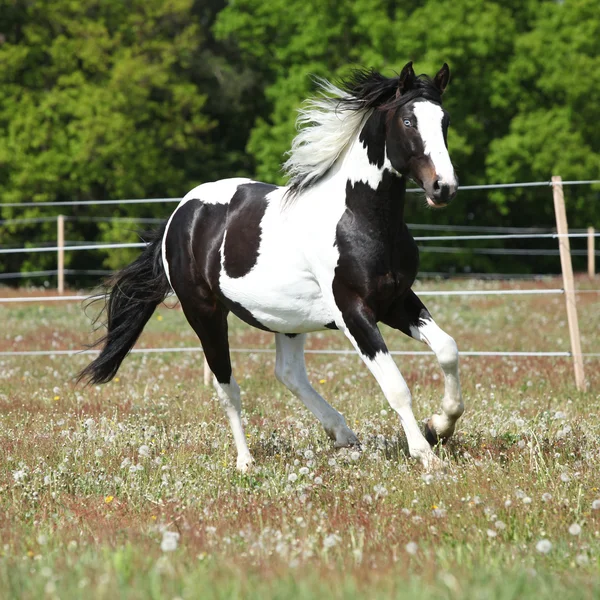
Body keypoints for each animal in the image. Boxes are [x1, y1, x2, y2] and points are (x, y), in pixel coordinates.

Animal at [78, 61, 464, 474]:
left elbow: (447, 349)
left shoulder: (396, 301)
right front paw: (426, 454)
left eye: (445, 120)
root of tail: (181, 213)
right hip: (204, 313)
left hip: (289, 319)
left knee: (288, 373)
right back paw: (246, 462)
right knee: (227, 386)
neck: (361, 219)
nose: (443, 187)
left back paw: (343, 434)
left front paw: (440, 426)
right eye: (408, 121)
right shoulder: (354, 312)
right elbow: (395, 385)